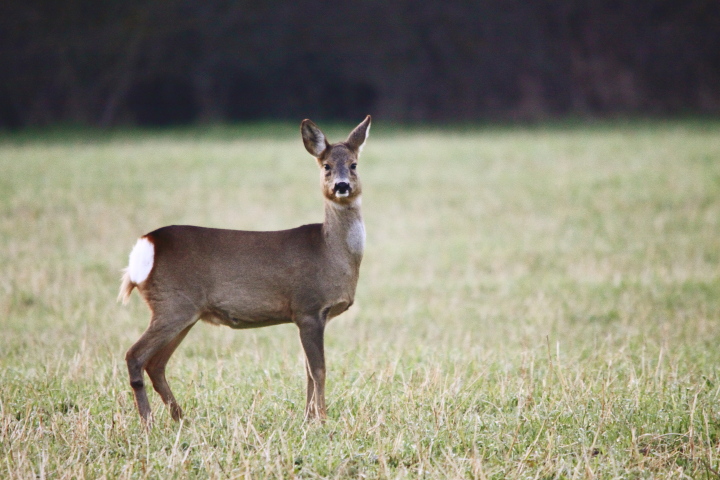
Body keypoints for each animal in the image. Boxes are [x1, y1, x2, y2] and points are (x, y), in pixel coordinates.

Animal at [118, 116, 372, 428]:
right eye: (326, 165)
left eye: (353, 164)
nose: (341, 186)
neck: (331, 252)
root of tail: (145, 246)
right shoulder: (308, 307)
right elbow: (319, 370)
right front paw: (322, 419)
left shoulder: (308, 316)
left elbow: (308, 373)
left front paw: (309, 418)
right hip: (172, 305)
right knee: (134, 355)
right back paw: (148, 422)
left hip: (183, 312)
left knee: (156, 363)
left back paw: (180, 418)